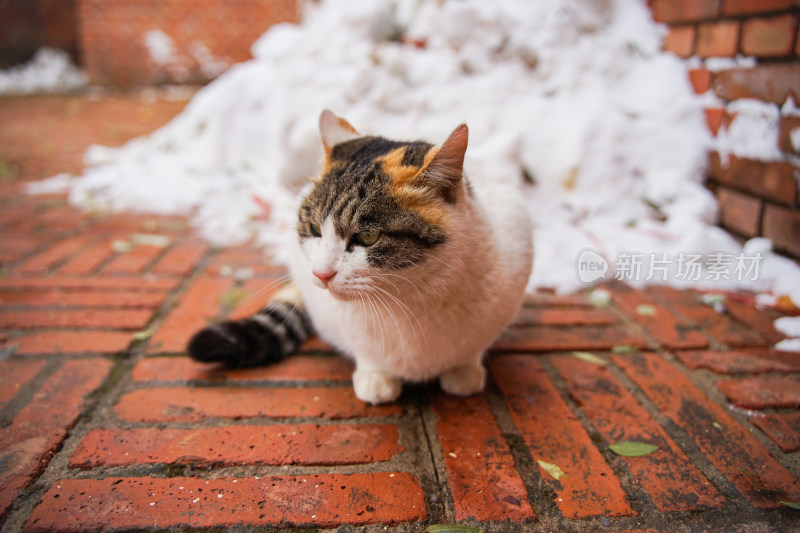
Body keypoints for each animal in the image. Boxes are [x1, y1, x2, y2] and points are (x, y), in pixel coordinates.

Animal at [189, 111, 532, 404]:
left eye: (367, 238)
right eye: (314, 229)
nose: (320, 274)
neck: (408, 300)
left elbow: (472, 349)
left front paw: (463, 371)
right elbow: (367, 354)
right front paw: (376, 378)